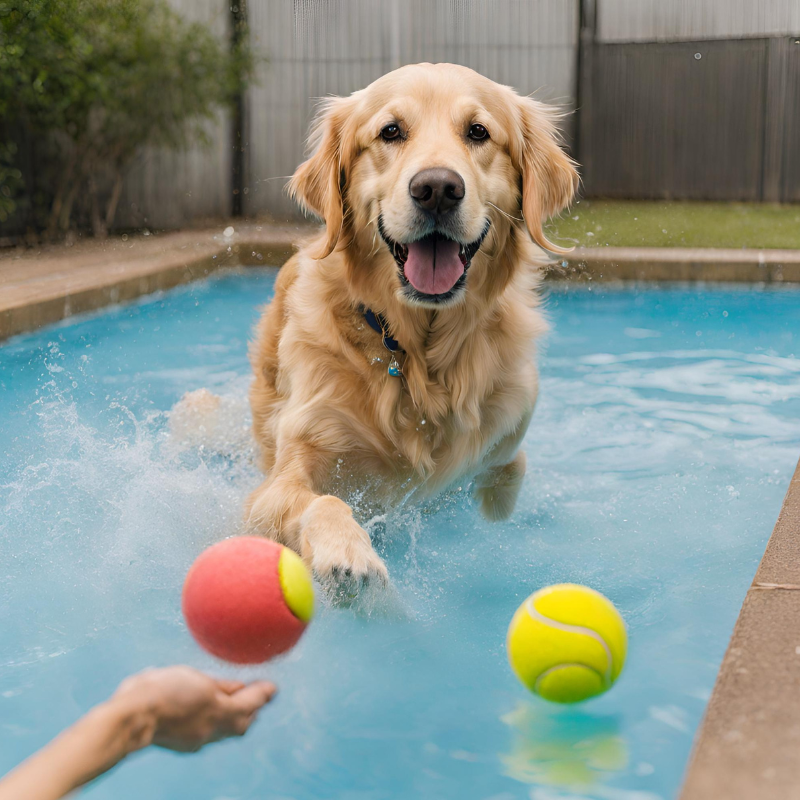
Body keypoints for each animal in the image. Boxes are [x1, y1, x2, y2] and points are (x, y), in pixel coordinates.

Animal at [244, 62, 576, 596]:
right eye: (390, 131)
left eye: (478, 132)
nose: (437, 189)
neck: (418, 355)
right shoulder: (278, 482)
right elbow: (321, 500)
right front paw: (347, 552)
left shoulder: (507, 432)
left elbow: (505, 477)